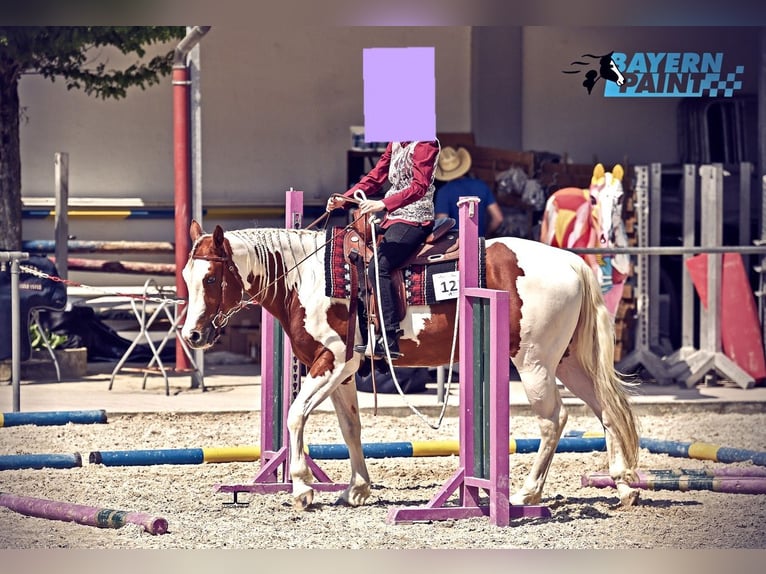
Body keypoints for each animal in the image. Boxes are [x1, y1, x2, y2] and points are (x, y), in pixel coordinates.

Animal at [180, 220, 640, 512]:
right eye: (186, 277)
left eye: (211, 279)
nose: (192, 336)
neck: (309, 278)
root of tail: (570, 261)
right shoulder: (343, 373)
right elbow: (351, 427)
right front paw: (357, 489)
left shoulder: (332, 361)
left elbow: (295, 416)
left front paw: (301, 488)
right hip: (567, 362)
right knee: (606, 411)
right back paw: (623, 486)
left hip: (534, 362)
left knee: (553, 420)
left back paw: (526, 494)